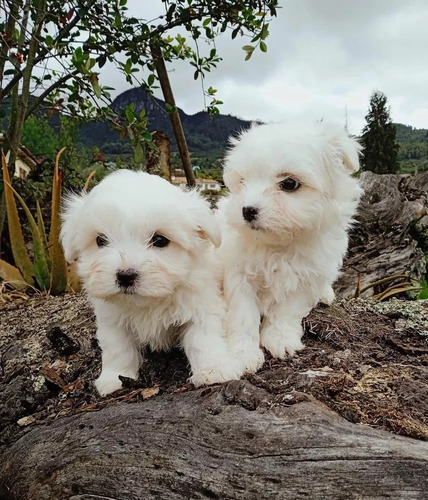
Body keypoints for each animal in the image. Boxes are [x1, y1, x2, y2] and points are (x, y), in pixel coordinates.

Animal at [61, 170, 239, 396]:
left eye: (160, 240)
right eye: (101, 240)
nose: (125, 275)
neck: (149, 302)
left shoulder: (201, 306)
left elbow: (204, 339)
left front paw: (214, 370)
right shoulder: (112, 318)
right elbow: (117, 347)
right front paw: (114, 378)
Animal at [219, 123, 362, 374]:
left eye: (289, 184)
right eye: (242, 181)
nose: (247, 210)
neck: (279, 245)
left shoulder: (308, 276)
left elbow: (287, 310)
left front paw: (281, 338)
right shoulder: (238, 273)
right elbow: (243, 314)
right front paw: (242, 353)